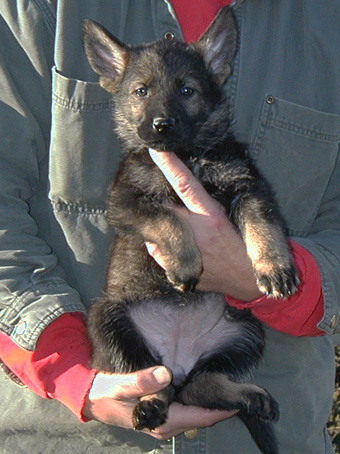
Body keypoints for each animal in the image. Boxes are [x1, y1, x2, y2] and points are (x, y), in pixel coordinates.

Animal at [83, 7, 298, 454]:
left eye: (187, 90)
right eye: (141, 91)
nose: (161, 125)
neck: (189, 156)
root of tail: (178, 359)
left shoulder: (248, 187)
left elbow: (264, 225)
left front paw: (274, 267)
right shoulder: (126, 202)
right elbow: (168, 219)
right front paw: (184, 263)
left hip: (245, 331)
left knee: (199, 385)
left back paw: (245, 394)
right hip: (108, 318)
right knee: (157, 380)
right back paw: (150, 404)